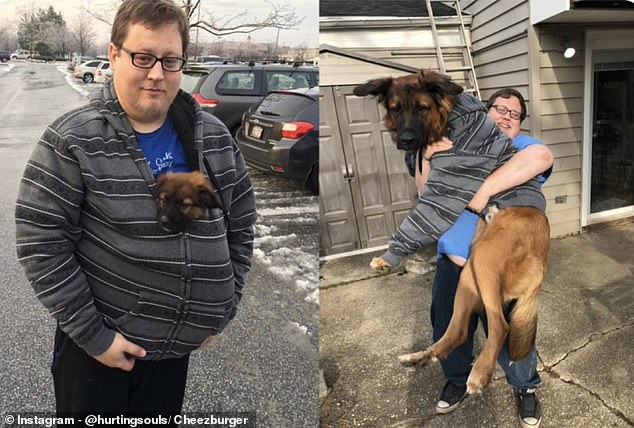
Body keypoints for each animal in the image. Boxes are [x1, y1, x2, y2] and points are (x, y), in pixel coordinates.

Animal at [356, 70, 548, 394]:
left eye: (422, 108)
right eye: (396, 108)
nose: (407, 141)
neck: (448, 120)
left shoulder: (450, 182)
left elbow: (422, 216)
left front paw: (388, 257)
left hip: (483, 262)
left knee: (501, 326)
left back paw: (479, 374)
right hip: (469, 277)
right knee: (457, 331)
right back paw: (421, 357)